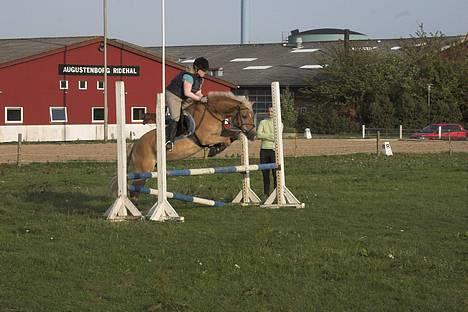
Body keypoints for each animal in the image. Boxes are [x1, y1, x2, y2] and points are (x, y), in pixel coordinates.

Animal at [126, 92, 256, 199]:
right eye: (244, 116)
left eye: (252, 116)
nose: (253, 135)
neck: (213, 113)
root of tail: (135, 145)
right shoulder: (206, 138)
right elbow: (227, 140)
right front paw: (215, 149)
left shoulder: (221, 132)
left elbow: (234, 135)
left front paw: (216, 149)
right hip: (143, 170)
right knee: (134, 191)